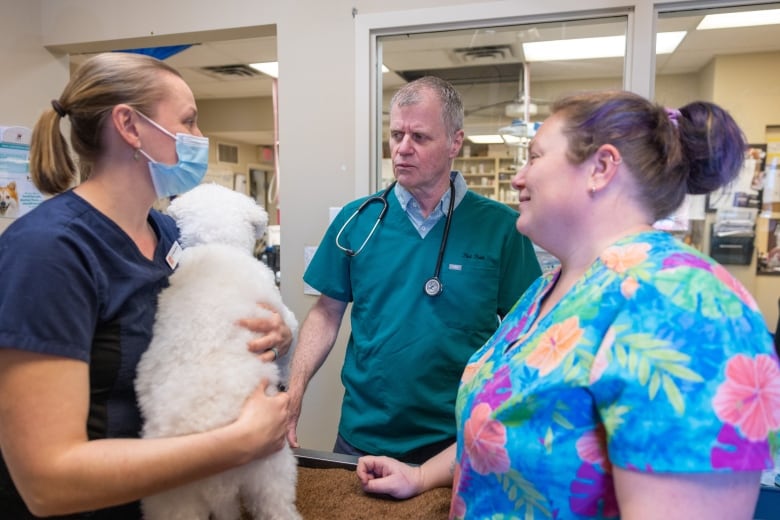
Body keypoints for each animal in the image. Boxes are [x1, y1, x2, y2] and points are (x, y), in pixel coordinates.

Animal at [136, 183, 300, 520]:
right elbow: (289, 341)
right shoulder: (279, 315)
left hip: (174, 502)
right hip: (271, 468)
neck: (216, 245)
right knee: (278, 508)